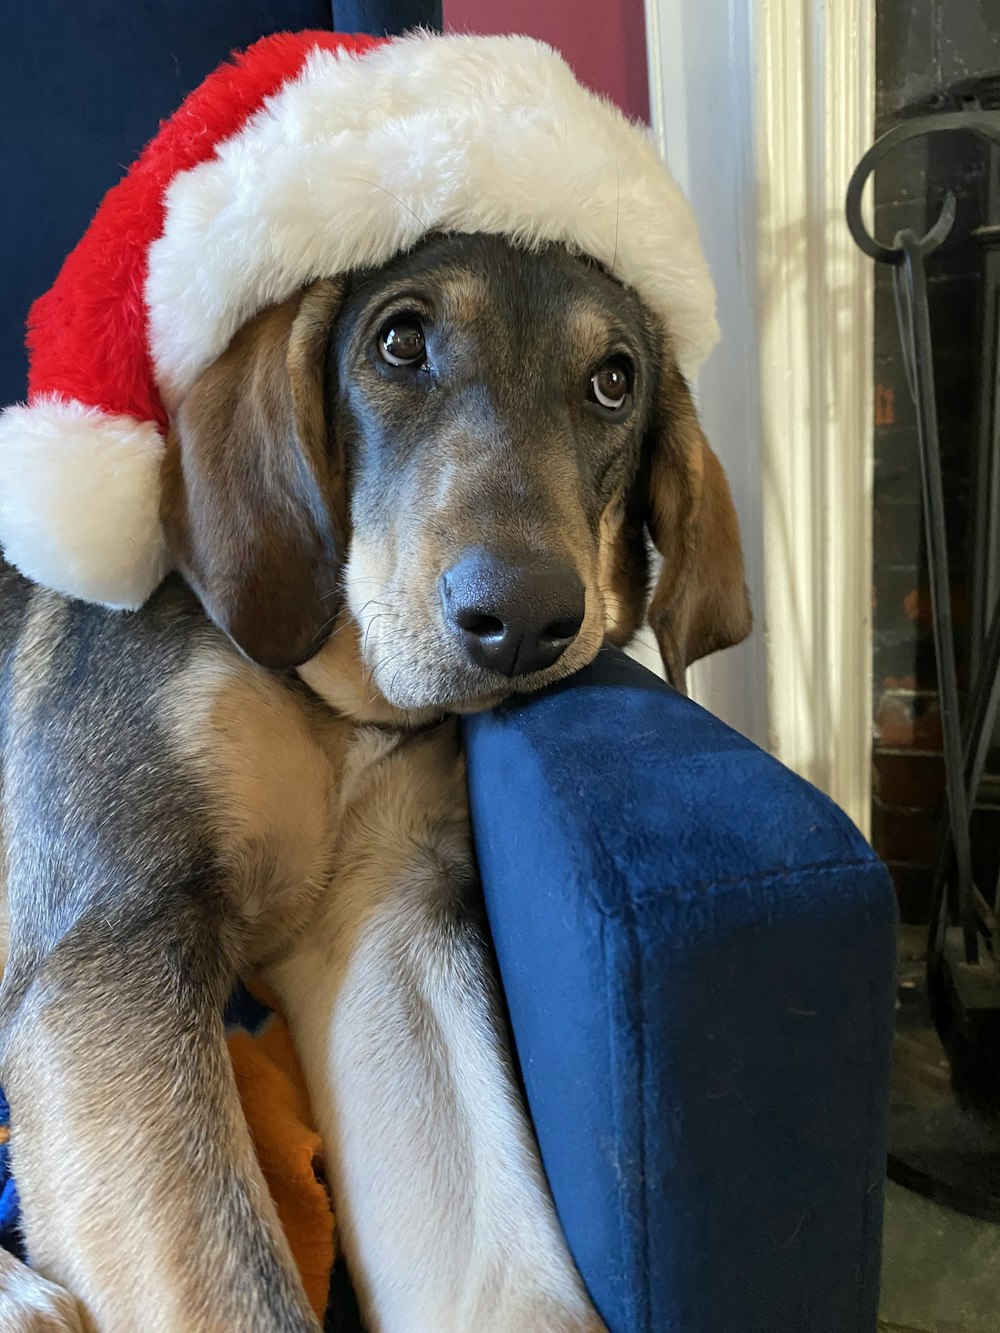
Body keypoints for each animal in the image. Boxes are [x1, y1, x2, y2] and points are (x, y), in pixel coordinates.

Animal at [0, 234, 752, 1327]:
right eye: (400, 342)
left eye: (614, 382)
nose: (523, 619)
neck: (338, 704)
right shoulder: (111, 940)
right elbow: (239, 1292)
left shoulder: (388, 926)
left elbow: (518, 1275)